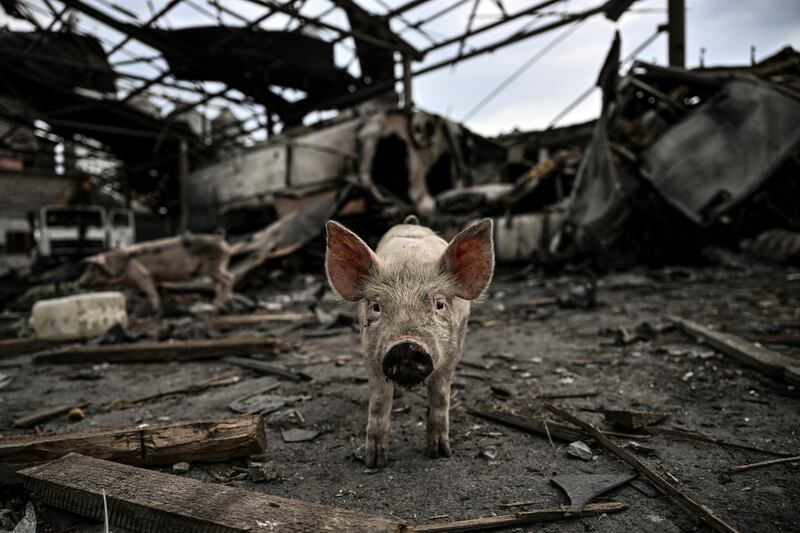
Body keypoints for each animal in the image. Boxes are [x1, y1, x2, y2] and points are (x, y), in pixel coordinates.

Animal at [78, 234, 234, 313]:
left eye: (91, 269)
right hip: (216, 268)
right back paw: (219, 305)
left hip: (213, 267)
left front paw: (155, 310)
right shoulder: (131, 284)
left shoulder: (142, 274)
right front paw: (127, 310)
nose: (79, 282)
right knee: (223, 282)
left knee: (228, 278)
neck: (119, 265)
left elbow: (151, 291)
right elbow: (126, 296)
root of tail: (221, 240)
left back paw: (220, 307)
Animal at [325, 215, 494, 467]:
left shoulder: (454, 351)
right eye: (376, 306)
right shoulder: (370, 353)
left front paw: (439, 453)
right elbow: (379, 401)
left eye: (439, 304)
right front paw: (375, 462)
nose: (405, 347)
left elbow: (440, 396)